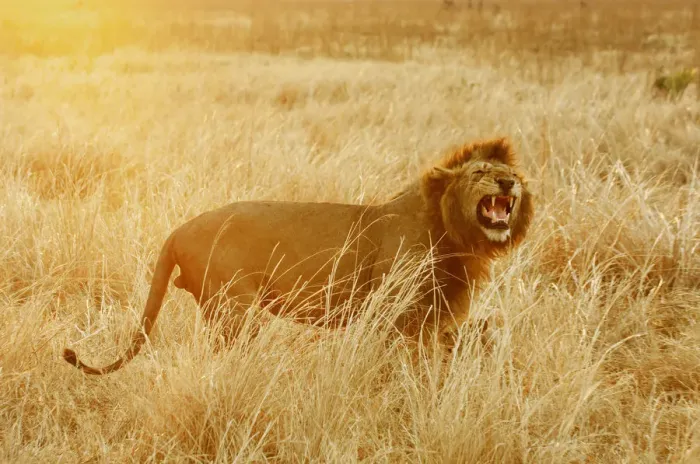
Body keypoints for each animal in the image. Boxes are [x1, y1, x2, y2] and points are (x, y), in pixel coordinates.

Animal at [63, 137, 534, 375]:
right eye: (480, 172)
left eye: (512, 173)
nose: (509, 182)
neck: (455, 234)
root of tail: (178, 230)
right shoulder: (399, 316)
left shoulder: (434, 322)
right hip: (235, 309)